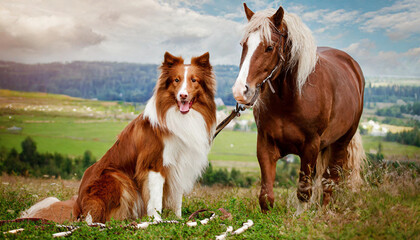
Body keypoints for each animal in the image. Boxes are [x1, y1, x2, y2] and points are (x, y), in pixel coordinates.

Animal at [20, 52, 217, 223]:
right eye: (177, 80)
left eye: (193, 80)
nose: (183, 95)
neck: (179, 116)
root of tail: (77, 205)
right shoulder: (154, 165)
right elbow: (155, 200)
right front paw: (157, 222)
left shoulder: (179, 165)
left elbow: (176, 199)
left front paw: (179, 220)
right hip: (115, 177)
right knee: (90, 219)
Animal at [231, 3, 366, 210]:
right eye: (243, 45)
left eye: (269, 47)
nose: (240, 91)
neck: (289, 100)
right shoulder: (265, 144)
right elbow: (266, 197)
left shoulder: (310, 147)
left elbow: (304, 193)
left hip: (341, 142)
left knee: (330, 182)